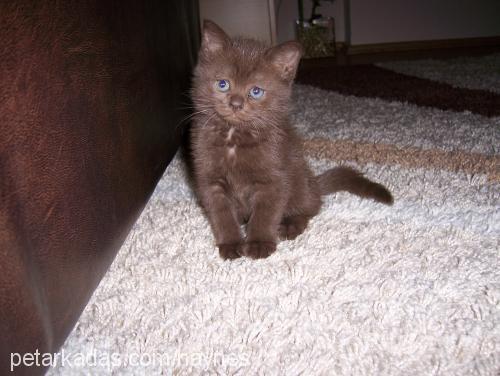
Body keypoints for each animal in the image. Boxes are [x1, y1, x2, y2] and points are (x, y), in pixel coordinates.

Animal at [189, 21, 392, 258]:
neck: (234, 138)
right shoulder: (209, 179)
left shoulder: (274, 179)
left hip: (299, 182)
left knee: (310, 207)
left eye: (256, 91)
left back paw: (290, 225)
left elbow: (265, 213)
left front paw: (259, 243)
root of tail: (314, 184)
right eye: (223, 84)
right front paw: (231, 244)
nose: (236, 104)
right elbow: (221, 215)